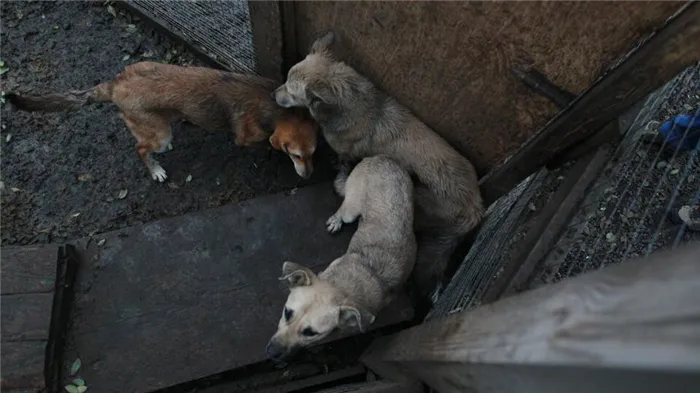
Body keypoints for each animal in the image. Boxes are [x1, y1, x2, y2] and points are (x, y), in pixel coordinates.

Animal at [7, 60, 320, 180]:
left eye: (313, 153)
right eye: (296, 155)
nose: (309, 176)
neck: (276, 108)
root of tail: (115, 84)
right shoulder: (246, 136)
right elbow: (260, 141)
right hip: (158, 134)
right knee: (141, 148)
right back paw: (155, 170)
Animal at [266, 155, 412, 358]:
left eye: (311, 333)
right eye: (287, 312)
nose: (271, 353)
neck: (343, 285)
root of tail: (381, 157)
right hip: (352, 209)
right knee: (342, 211)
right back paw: (336, 221)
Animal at [270, 32, 484, 300]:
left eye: (291, 90)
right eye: (286, 79)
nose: (272, 95)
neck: (354, 103)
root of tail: (476, 207)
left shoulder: (346, 153)